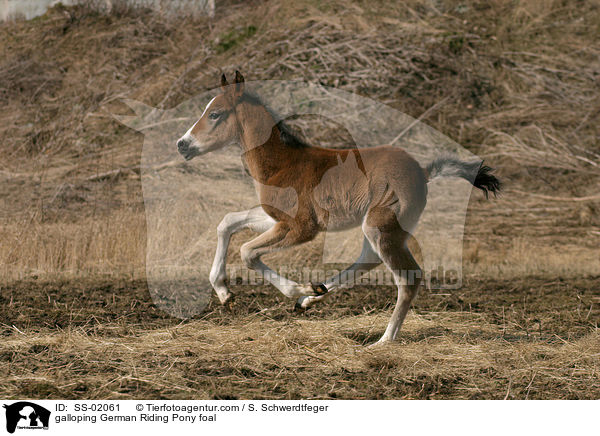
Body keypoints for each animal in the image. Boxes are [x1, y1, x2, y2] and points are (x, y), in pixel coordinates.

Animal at [176, 71, 500, 344]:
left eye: (215, 114)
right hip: (381, 228)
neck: (283, 163)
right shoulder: (276, 218)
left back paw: (383, 340)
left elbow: (247, 252)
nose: (182, 144)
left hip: (380, 224)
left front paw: (297, 288)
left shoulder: (302, 227)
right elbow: (228, 222)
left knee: (408, 277)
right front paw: (224, 293)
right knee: (369, 259)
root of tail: (423, 172)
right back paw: (313, 297)